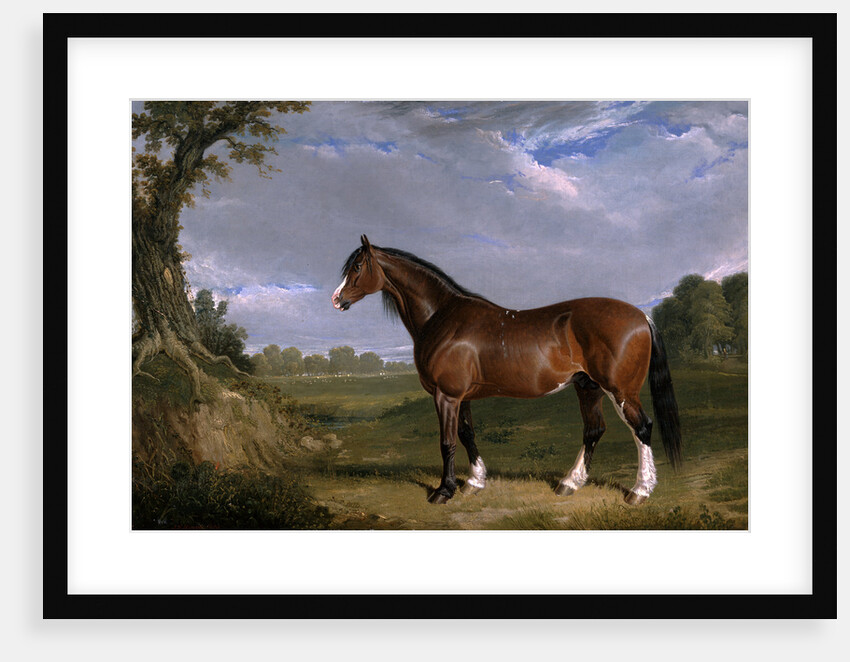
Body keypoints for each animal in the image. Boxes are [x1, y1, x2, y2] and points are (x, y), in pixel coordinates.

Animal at [332, 235, 683, 505]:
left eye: (358, 267)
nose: (336, 300)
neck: (443, 318)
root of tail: (642, 316)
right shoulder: (461, 397)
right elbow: (466, 434)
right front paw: (474, 483)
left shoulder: (446, 396)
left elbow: (447, 442)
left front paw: (443, 491)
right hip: (588, 387)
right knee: (594, 430)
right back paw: (568, 484)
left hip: (620, 390)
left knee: (642, 428)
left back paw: (639, 492)